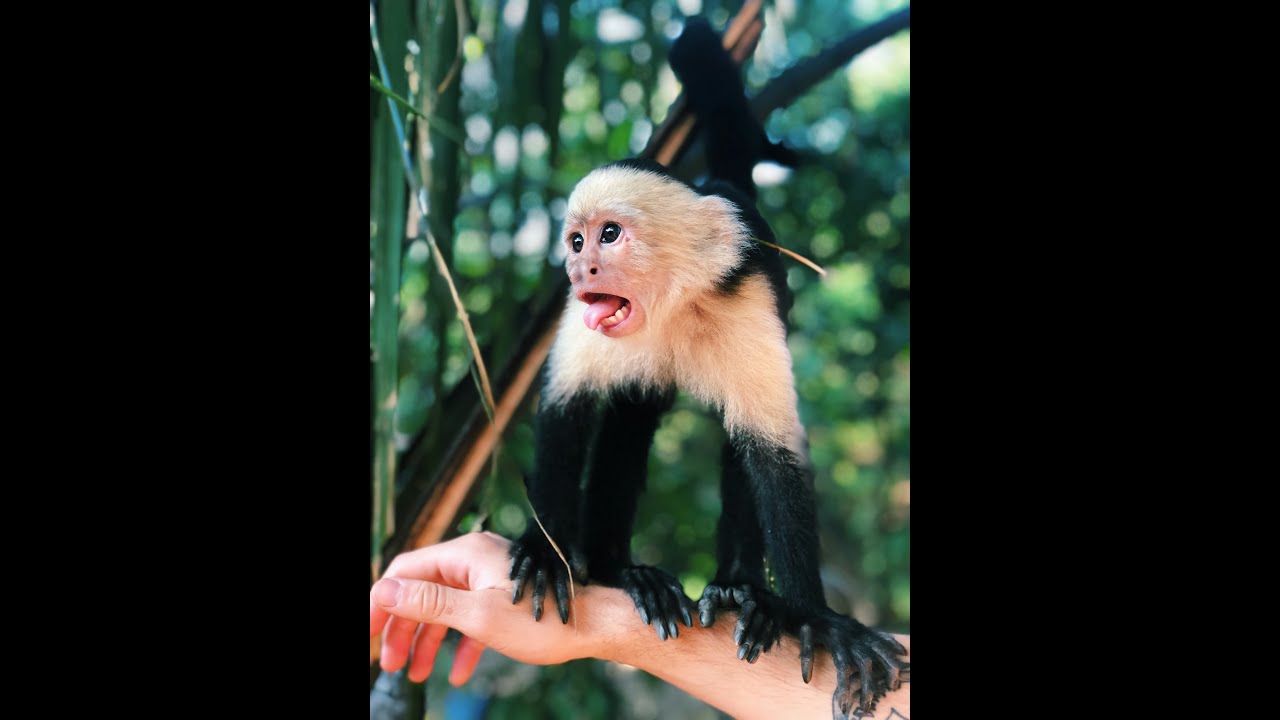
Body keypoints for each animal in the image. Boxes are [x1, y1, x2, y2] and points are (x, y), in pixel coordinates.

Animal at [506, 16, 908, 716]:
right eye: (576, 240)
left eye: (609, 235)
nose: (579, 269)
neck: (671, 303)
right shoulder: (585, 321)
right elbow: (565, 408)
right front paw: (544, 550)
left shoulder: (745, 297)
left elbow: (772, 455)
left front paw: (819, 619)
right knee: (629, 421)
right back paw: (621, 571)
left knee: (738, 440)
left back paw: (743, 593)